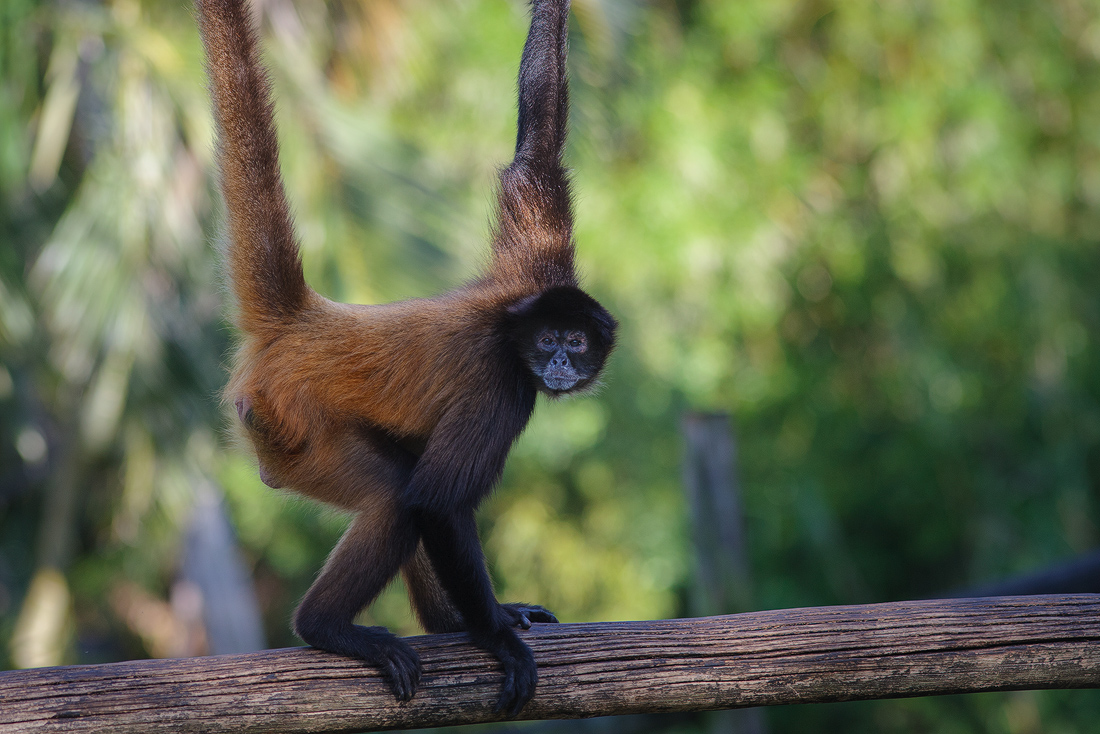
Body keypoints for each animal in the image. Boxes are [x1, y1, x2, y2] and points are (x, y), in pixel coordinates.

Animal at [195, 0, 616, 716]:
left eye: (576, 342)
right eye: (548, 344)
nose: (560, 364)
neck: (510, 330)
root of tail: (305, 320)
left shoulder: (535, 270)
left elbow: (534, 153)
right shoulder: (501, 385)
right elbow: (437, 503)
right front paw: (496, 637)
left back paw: (444, 624)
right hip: (289, 427)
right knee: (397, 495)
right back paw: (329, 627)